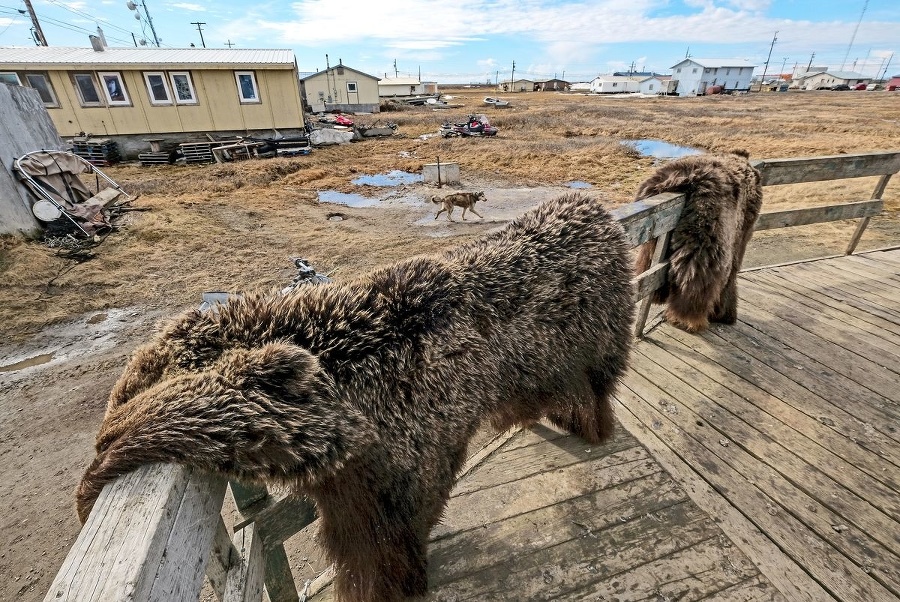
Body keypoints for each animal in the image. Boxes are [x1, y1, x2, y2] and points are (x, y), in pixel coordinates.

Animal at [75, 191, 632, 600]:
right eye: (128, 387)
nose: (94, 463)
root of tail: (599, 214)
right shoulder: (369, 478)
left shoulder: (397, 467)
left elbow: (381, 553)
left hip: (597, 342)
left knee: (594, 385)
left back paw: (592, 425)